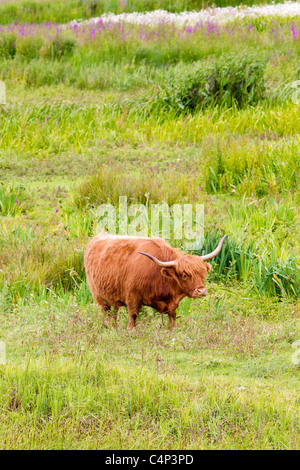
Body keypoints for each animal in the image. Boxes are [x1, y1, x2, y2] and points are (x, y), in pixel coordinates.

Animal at [83, 232, 226, 330]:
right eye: (184, 275)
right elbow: (132, 317)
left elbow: (173, 317)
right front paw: (130, 331)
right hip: (100, 298)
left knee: (114, 313)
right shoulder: (132, 298)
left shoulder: (171, 305)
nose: (201, 291)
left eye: (203, 273)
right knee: (107, 314)